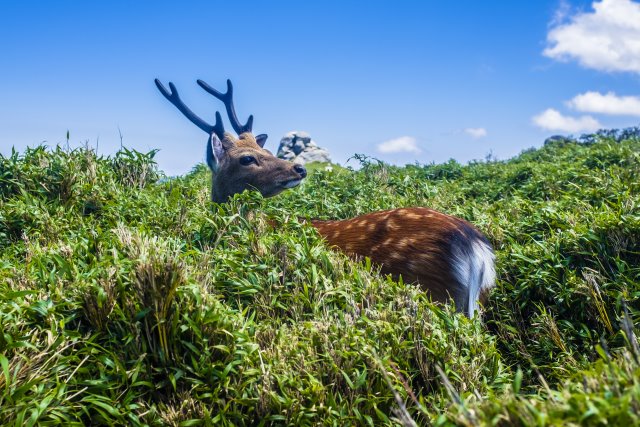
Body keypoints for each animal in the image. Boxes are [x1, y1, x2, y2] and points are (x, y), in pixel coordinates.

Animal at [155, 78, 496, 318]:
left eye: (265, 150)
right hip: (476, 302)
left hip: (434, 289)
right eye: (247, 158)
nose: (299, 167)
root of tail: (475, 247)